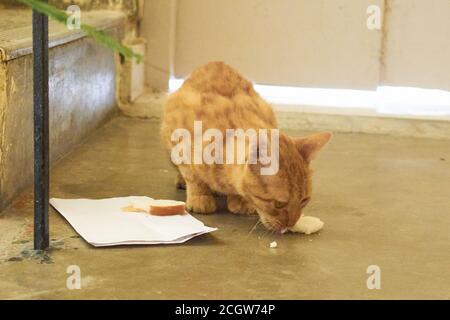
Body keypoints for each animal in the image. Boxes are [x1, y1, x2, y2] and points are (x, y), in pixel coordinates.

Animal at [162, 61, 330, 231]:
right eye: (278, 204)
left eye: (304, 200)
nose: (291, 224)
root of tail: (215, 62)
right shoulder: (178, 139)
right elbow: (193, 177)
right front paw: (200, 197)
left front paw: (240, 201)